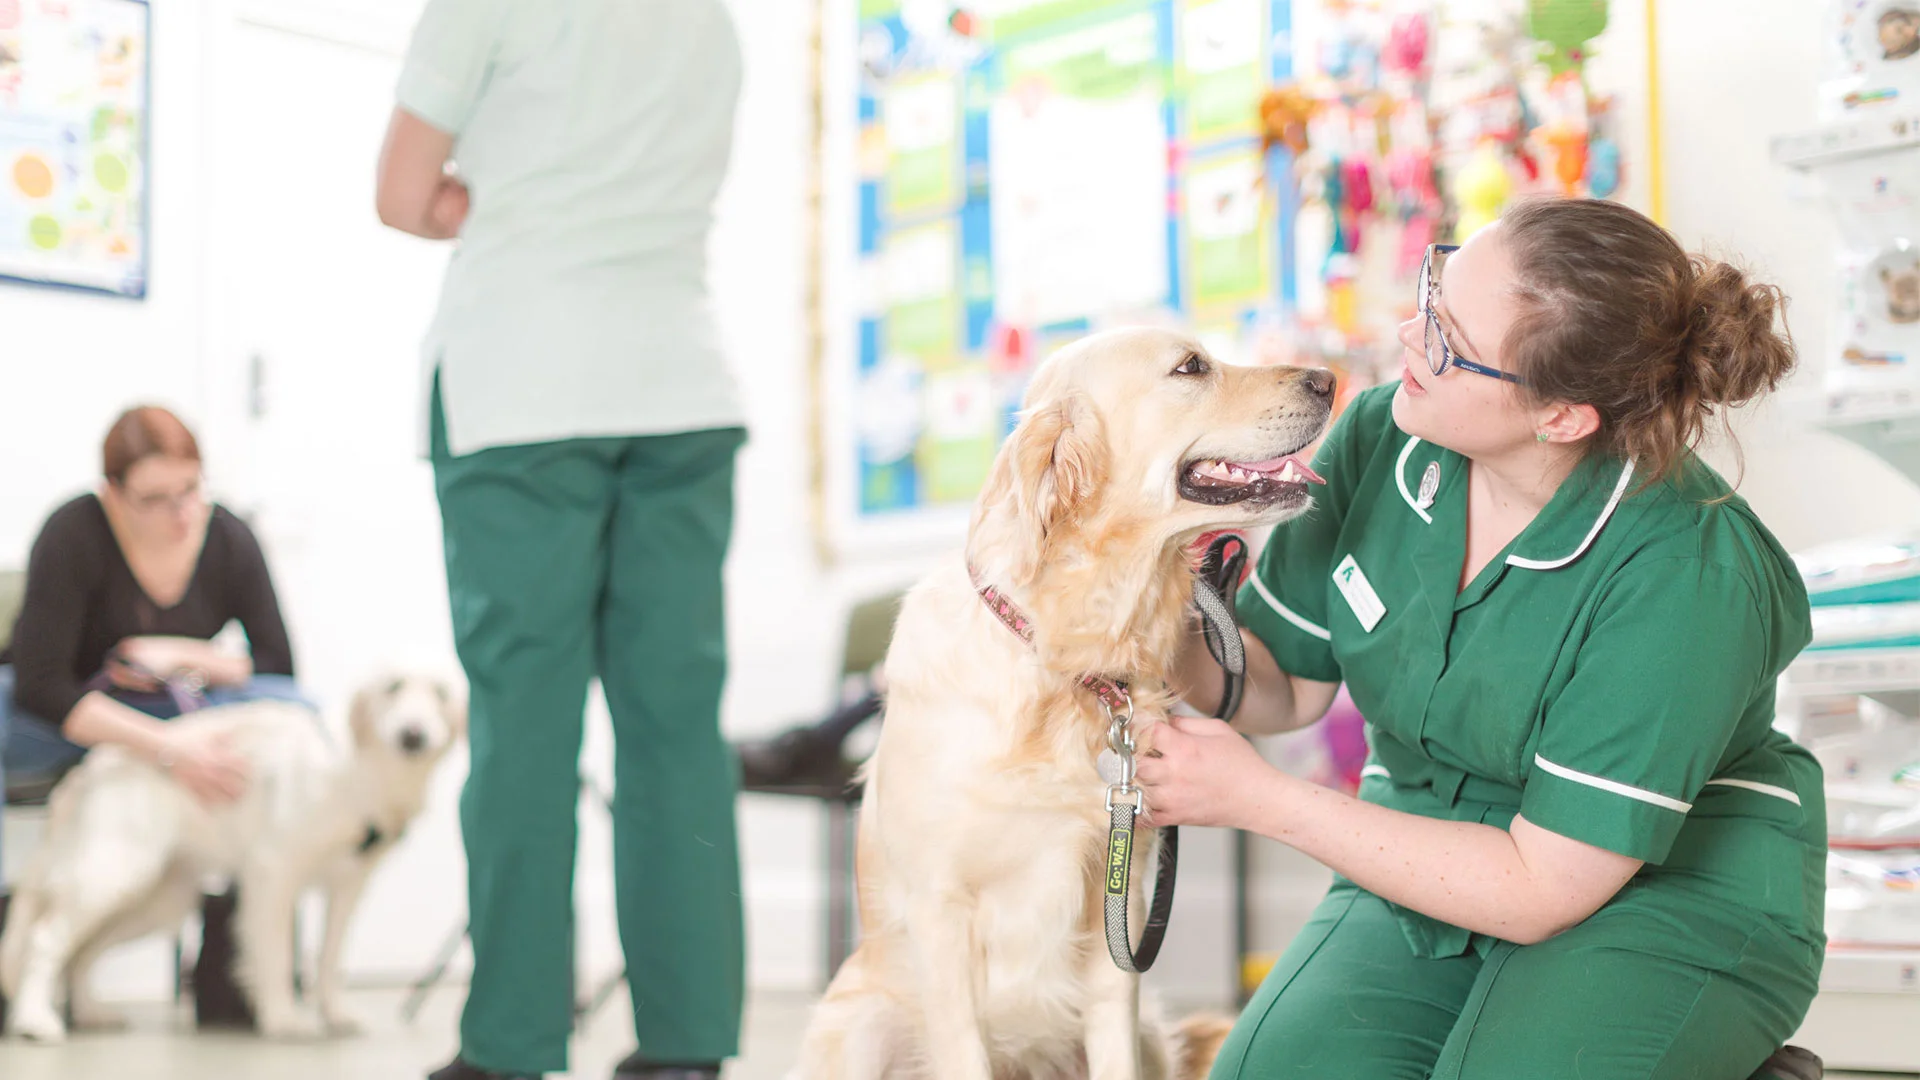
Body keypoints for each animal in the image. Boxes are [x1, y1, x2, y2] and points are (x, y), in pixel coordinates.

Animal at [0, 668, 464, 1037]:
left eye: (442, 692)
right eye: (393, 687)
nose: (412, 735)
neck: (362, 771)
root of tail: (88, 770)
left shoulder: (350, 885)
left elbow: (331, 959)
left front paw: (335, 1015)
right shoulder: (273, 873)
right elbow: (275, 954)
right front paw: (282, 1019)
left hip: (157, 901)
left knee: (81, 953)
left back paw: (89, 1013)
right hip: (112, 874)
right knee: (45, 940)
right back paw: (34, 1020)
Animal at [787, 328, 1328, 1076]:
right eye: (1190, 367)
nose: (1329, 380)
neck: (1061, 663)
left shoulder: (1117, 916)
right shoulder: (940, 913)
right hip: (857, 1021)